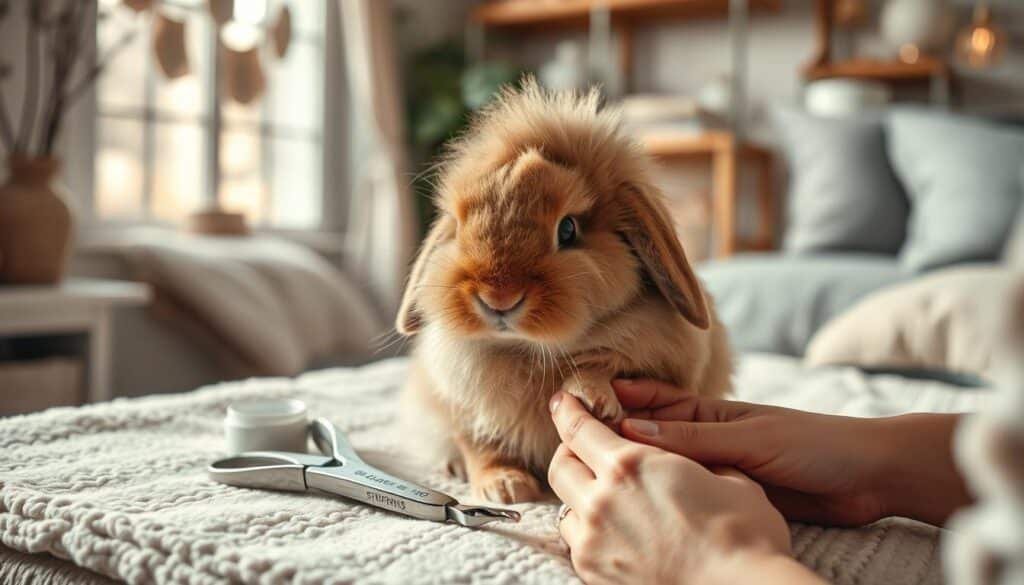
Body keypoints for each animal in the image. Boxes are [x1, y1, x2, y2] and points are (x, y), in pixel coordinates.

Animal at [395, 79, 733, 506]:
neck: (529, 349)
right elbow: (481, 447)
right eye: (460, 225)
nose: (498, 298)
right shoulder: (460, 405)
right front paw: (506, 488)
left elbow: (600, 363)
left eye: (568, 229)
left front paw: (593, 399)